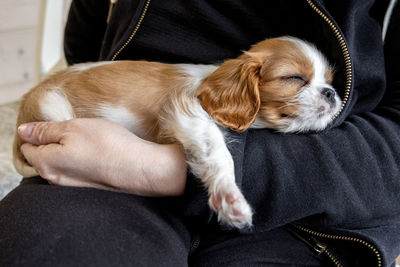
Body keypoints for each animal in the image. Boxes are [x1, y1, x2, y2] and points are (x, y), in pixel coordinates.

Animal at [12, 36, 340, 229]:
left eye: (329, 80)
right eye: (294, 78)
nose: (332, 93)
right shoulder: (187, 112)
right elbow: (219, 153)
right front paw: (230, 198)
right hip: (52, 105)